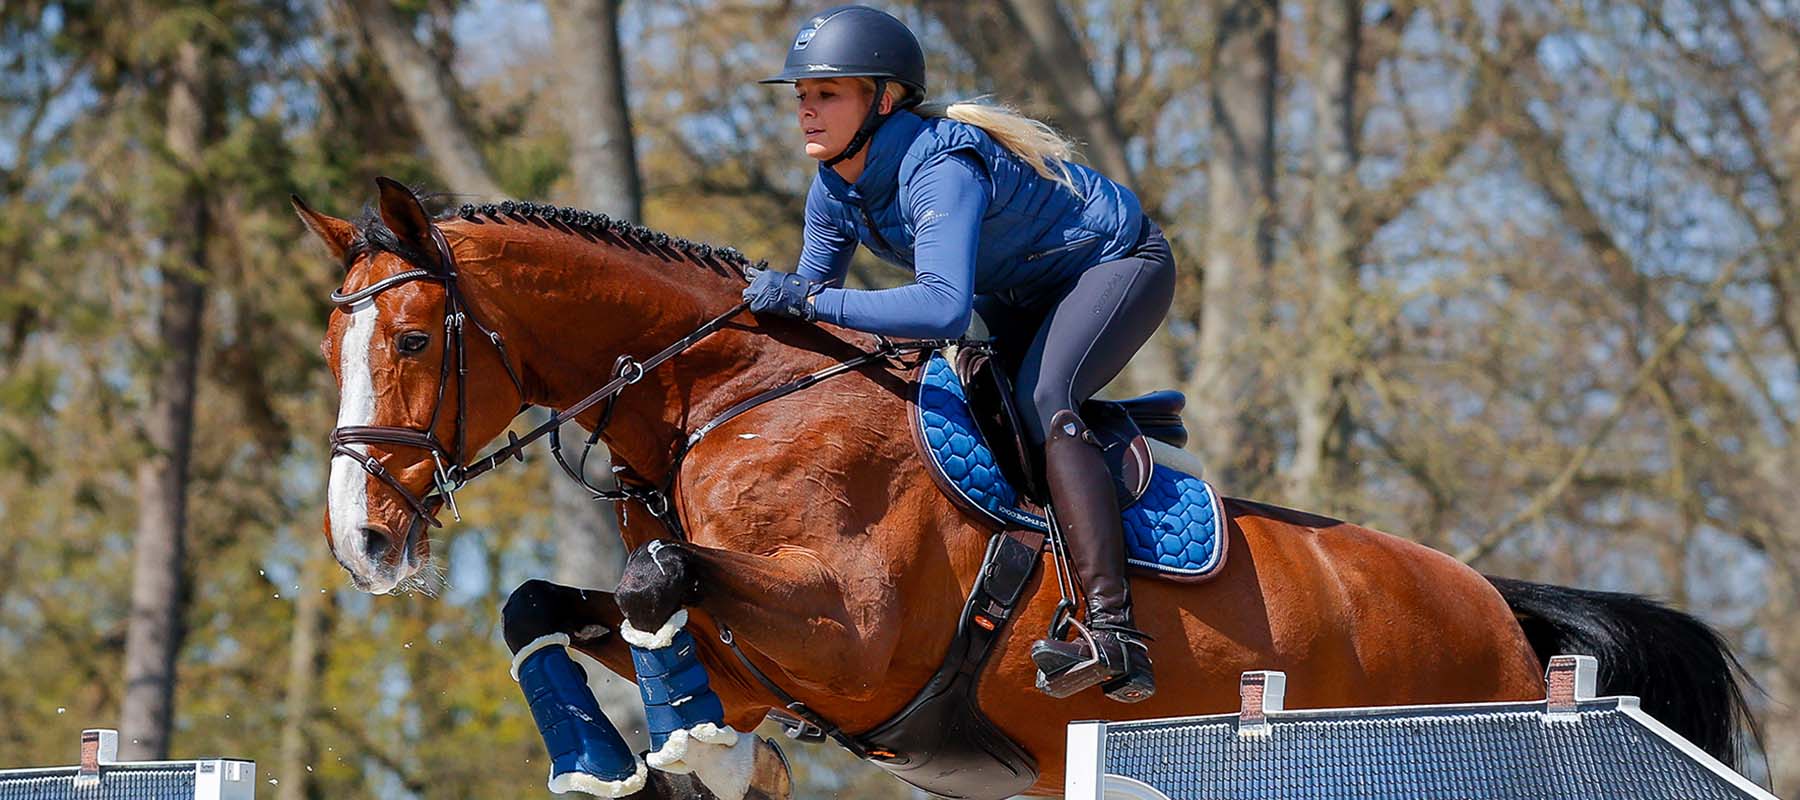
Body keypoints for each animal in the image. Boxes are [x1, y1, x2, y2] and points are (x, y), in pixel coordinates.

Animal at [298, 178, 1757, 798]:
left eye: (414, 340)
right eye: (331, 346)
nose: (363, 541)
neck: (724, 396)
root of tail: (1502, 607)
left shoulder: (848, 630)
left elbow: (655, 578)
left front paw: (697, 751)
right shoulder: (756, 647)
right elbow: (547, 605)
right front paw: (613, 757)